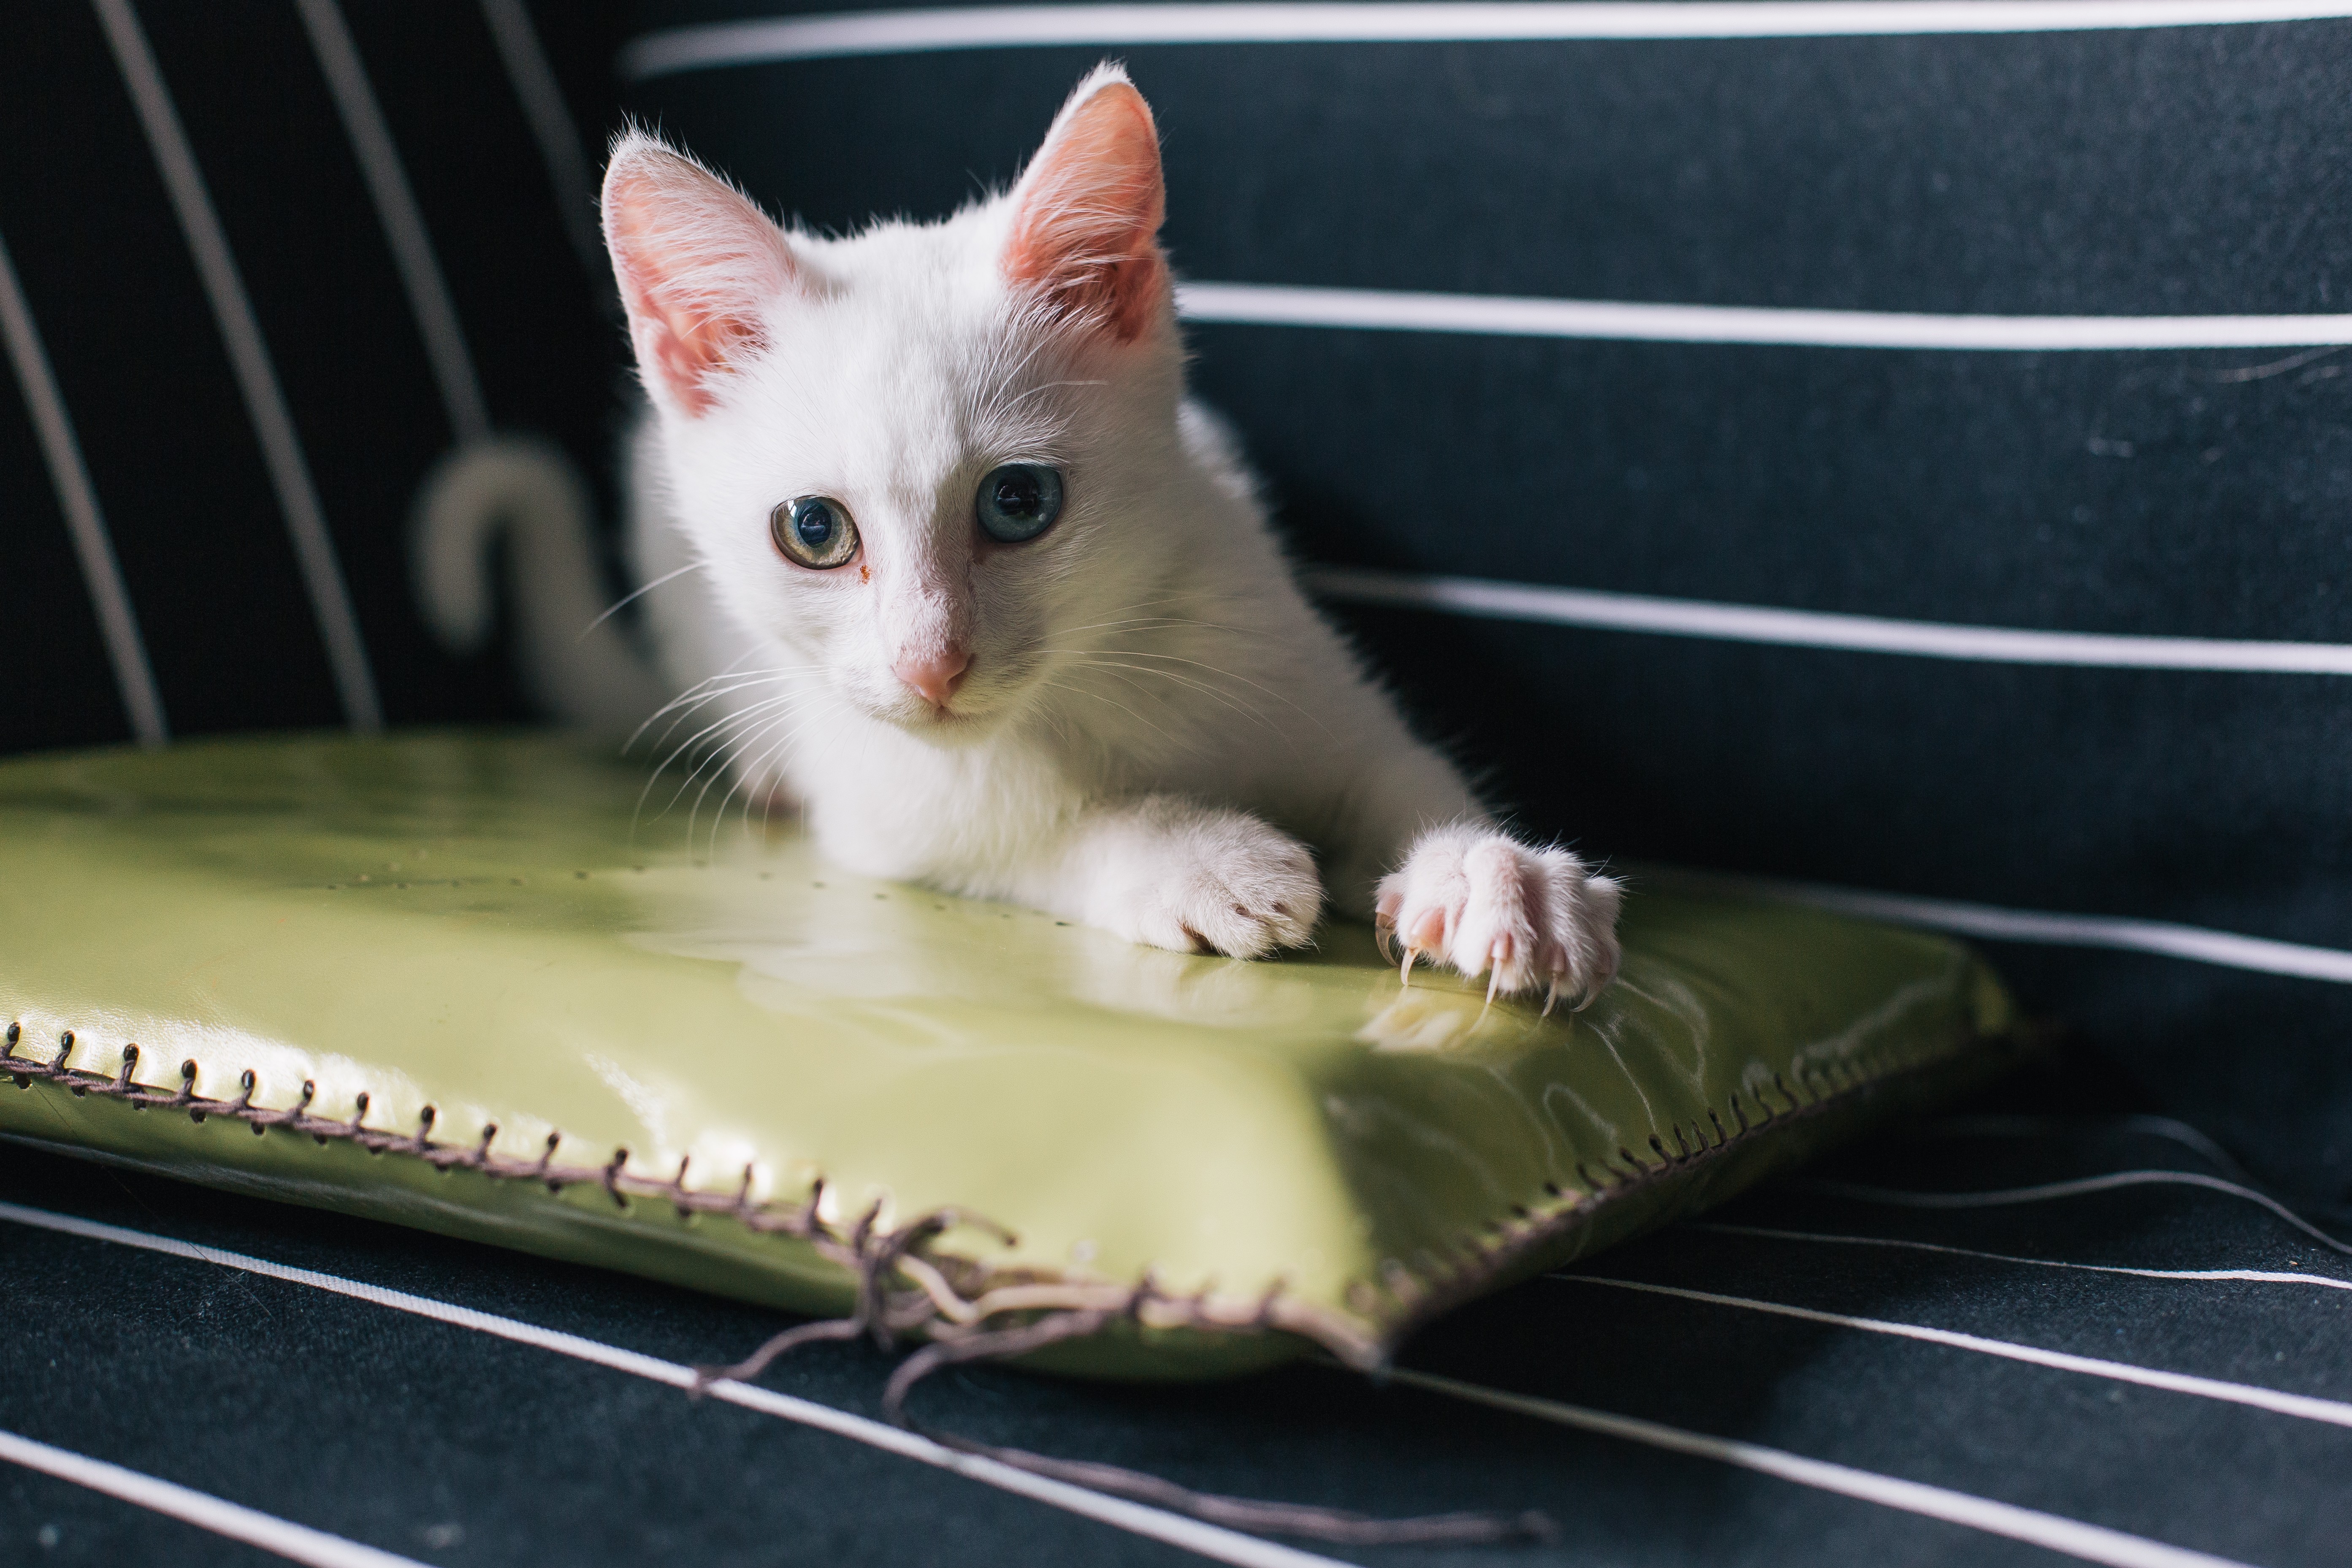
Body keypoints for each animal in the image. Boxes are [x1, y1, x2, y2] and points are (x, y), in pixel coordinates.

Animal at [421, 64, 1620, 1007]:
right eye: (813, 530)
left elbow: (1400, 763)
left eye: (1017, 504)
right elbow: (1022, 832)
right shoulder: (890, 807)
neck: (1091, 689)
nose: (930, 664)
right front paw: (1190, 855)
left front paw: (1492, 873)